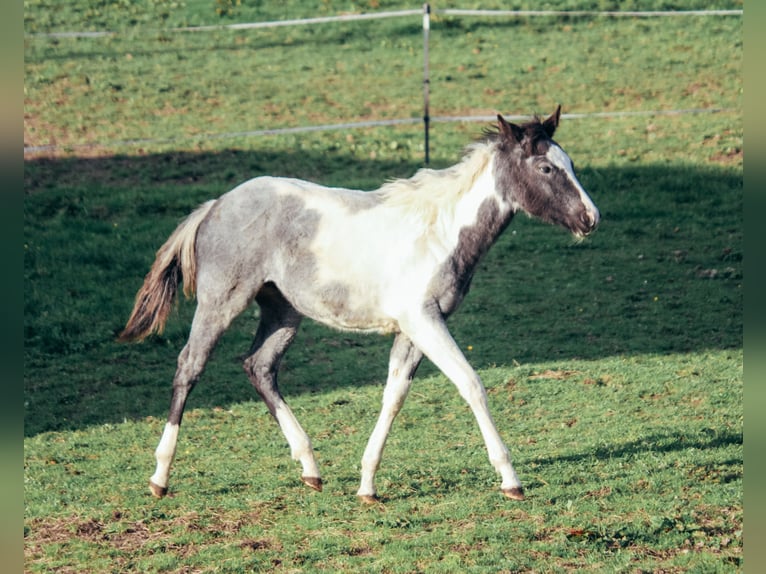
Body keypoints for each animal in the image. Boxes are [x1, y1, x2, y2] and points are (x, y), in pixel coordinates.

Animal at [120, 106, 600, 503]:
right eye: (545, 167)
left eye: (572, 164)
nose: (591, 219)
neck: (441, 231)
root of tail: (217, 205)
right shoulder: (424, 321)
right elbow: (471, 384)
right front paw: (510, 479)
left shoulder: (413, 329)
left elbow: (394, 395)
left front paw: (367, 485)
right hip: (222, 301)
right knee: (190, 365)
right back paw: (160, 477)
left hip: (283, 311)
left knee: (259, 366)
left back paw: (310, 468)